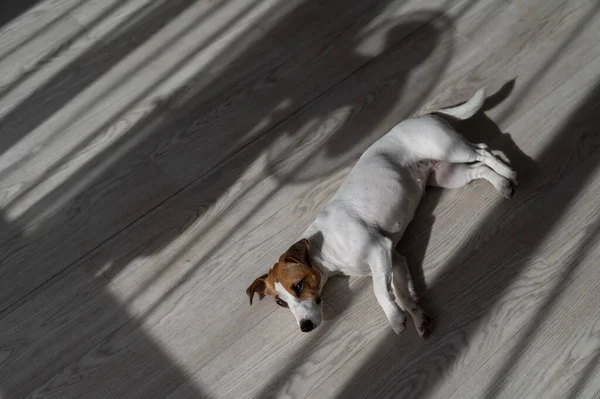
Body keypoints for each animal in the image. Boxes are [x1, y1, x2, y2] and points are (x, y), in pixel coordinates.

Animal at [246, 87, 516, 338]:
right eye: (281, 303)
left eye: (299, 286)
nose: (305, 327)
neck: (324, 248)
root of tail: (422, 116)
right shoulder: (394, 259)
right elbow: (402, 294)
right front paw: (417, 318)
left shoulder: (378, 249)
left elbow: (379, 290)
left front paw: (394, 318)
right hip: (447, 175)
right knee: (479, 168)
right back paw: (502, 184)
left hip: (450, 150)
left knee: (483, 151)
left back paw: (508, 170)